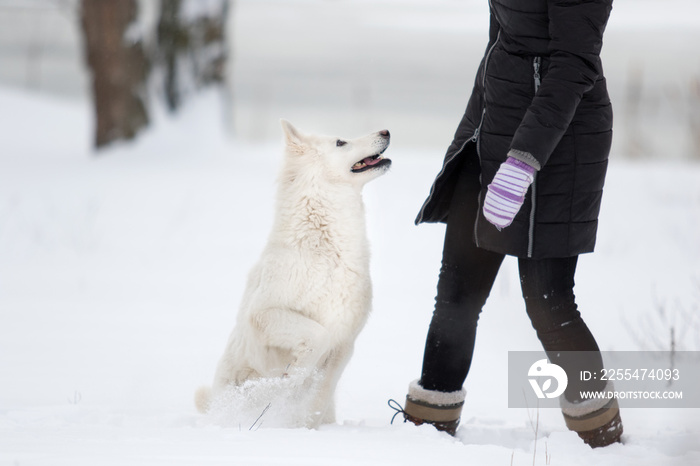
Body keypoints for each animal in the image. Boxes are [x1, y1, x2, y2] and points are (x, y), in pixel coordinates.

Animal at [197, 119, 392, 426]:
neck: (326, 248)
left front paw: (304, 426)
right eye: (340, 142)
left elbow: (319, 393)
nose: (386, 132)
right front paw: (291, 378)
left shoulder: (344, 344)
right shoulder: (265, 313)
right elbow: (316, 336)